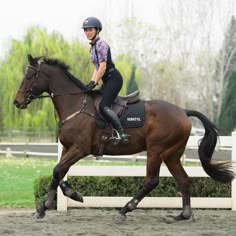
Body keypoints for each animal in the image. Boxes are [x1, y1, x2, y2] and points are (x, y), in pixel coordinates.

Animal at [14, 54, 234, 221]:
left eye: (29, 76)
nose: (17, 102)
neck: (76, 104)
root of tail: (183, 111)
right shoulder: (68, 148)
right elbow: (58, 173)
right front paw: (64, 198)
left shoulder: (80, 149)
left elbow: (58, 170)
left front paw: (47, 205)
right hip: (171, 155)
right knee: (184, 180)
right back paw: (184, 214)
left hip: (156, 151)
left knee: (151, 181)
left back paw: (124, 209)